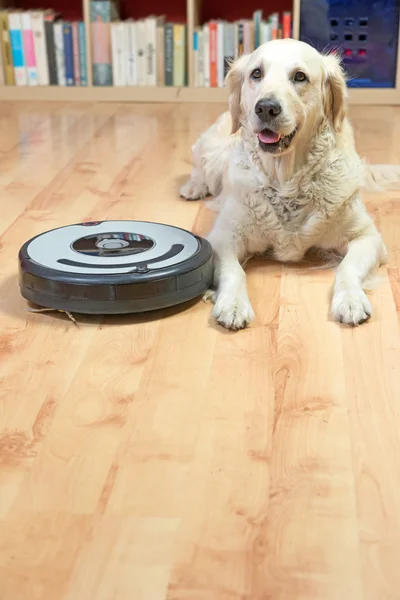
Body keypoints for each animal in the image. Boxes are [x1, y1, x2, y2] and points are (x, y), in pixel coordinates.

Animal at [182, 39, 400, 330]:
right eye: (256, 73)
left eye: (300, 77)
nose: (265, 108)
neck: (285, 181)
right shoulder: (222, 239)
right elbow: (234, 271)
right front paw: (233, 304)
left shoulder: (367, 237)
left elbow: (347, 267)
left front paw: (351, 300)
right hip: (211, 148)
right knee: (198, 164)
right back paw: (193, 188)